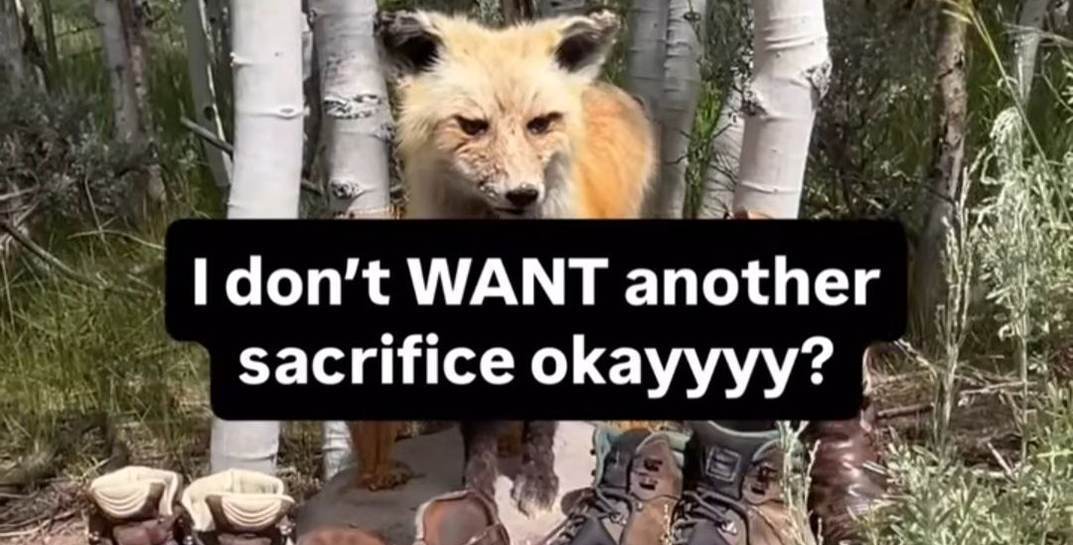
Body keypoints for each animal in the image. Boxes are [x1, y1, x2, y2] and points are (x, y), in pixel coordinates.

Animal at [346, 8, 657, 516]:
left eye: (540, 124)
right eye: (473, 126)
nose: (524, 194)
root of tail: (602, 87)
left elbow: (543, 427)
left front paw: (538, 481)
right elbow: (478, 432)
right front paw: (477, 489)